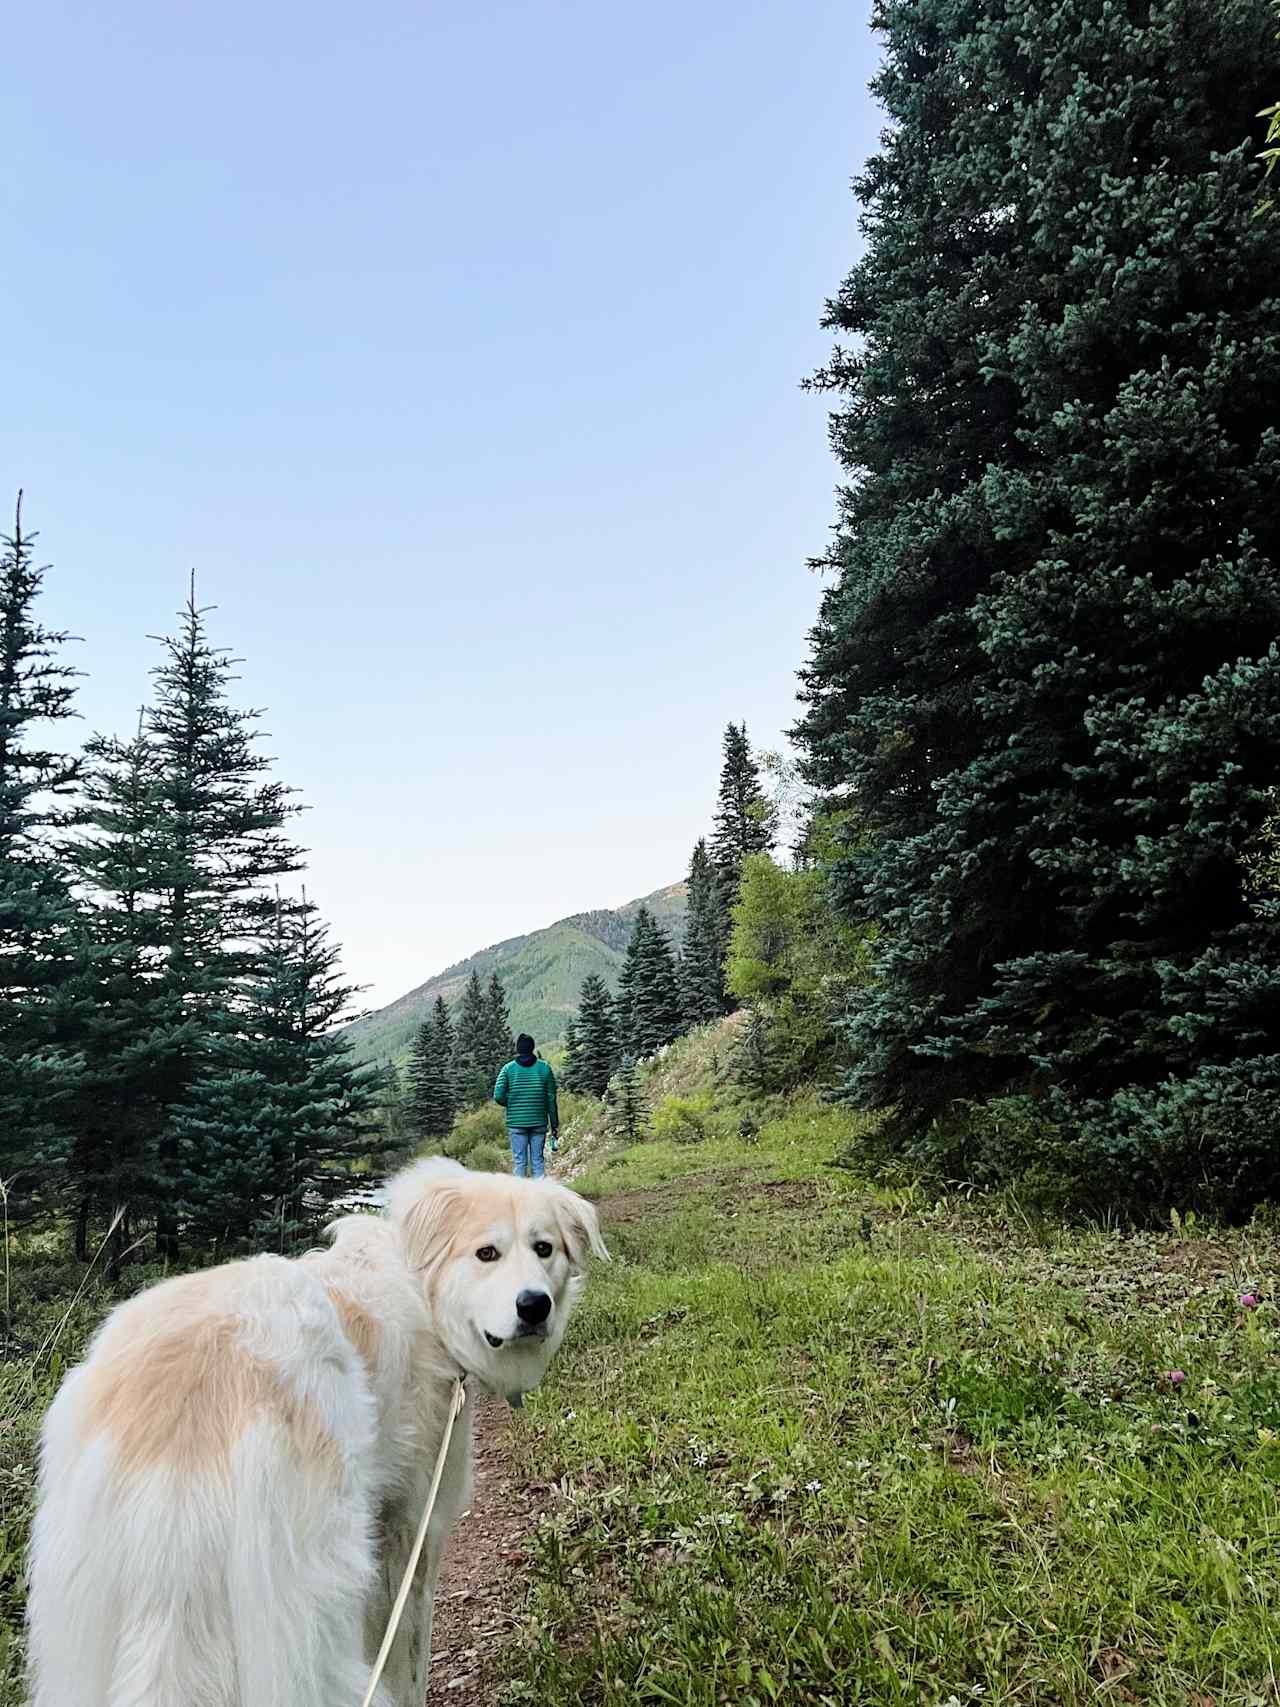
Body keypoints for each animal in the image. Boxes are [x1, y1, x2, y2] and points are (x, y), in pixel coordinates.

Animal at [27, 1153, 607, 1700]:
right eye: (487, 1253)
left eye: (544, 1249)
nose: (534, 1307)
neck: (424, 1287)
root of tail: (183, 1397)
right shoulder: (410, 1530)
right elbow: (407, 1659)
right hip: (308, 1600)